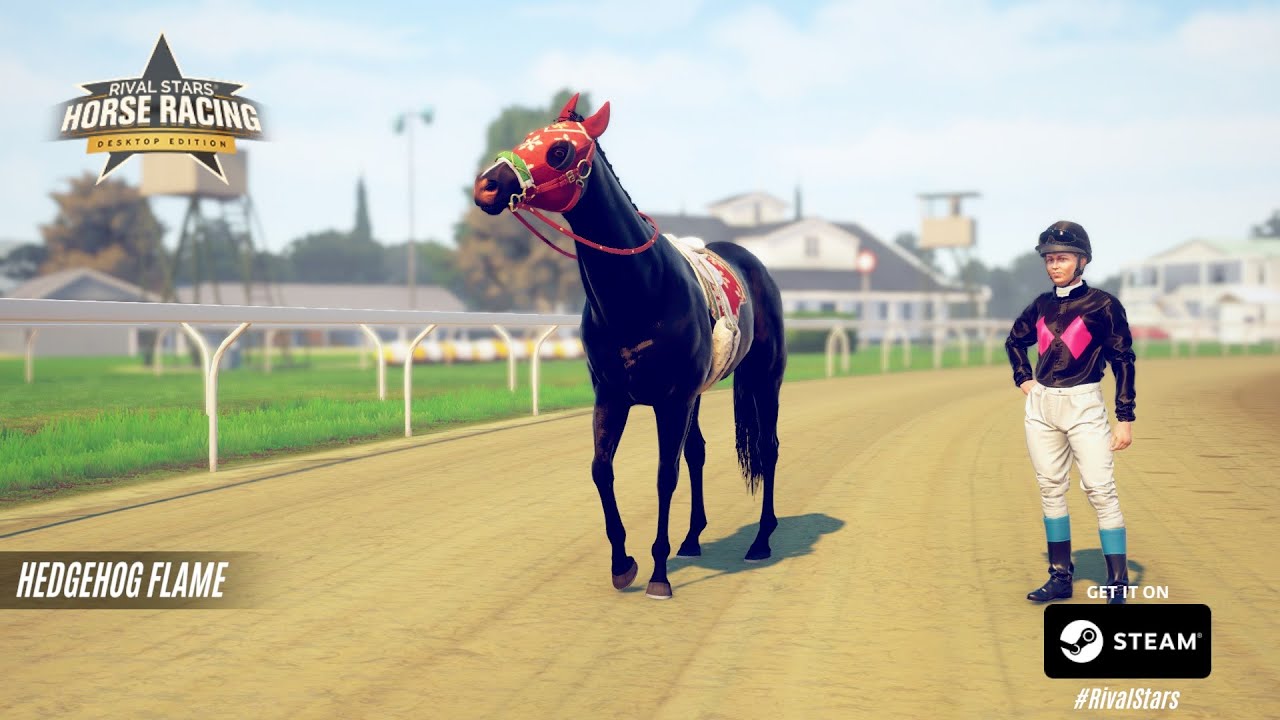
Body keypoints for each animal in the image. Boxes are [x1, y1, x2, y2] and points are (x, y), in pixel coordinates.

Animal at [472, 93, 787, 600]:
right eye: (528, 137)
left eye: (559, 150)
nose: (487, 185)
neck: (642, 291)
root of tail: (752, 261)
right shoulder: (612, 395)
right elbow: (602, 469)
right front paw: (623, 563)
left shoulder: (670, 401)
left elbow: (664, 477)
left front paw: (659, 574)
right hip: (699, 393)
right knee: (698, 451)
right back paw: (693, 539)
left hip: (765, 376)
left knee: (769, 446)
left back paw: (760, 541)